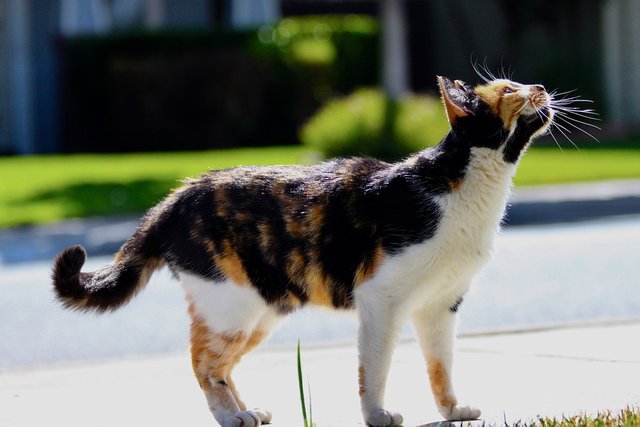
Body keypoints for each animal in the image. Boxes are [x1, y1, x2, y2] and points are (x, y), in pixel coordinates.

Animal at [52, 75, 556, 426]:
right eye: (509, 90)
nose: (541, 87)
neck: (461, 186)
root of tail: (176, 194)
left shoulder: (440, 304)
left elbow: (441, 365)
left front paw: (451, 411)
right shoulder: (381, 298)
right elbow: (374, 367)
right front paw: (377, 416)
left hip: (260, 312)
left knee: (222, 365)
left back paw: (248, 411)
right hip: (231, 306)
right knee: (203, 364)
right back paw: (230, 415)